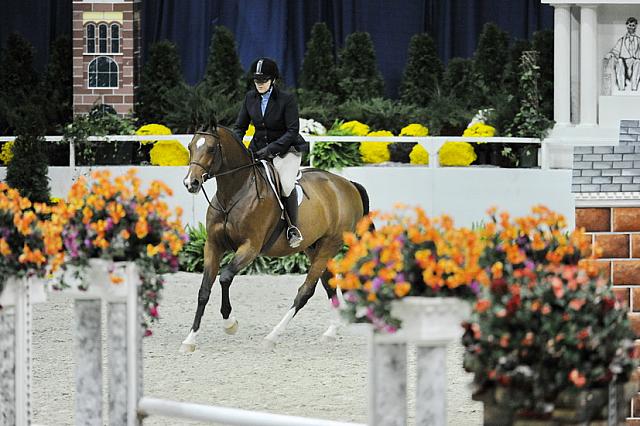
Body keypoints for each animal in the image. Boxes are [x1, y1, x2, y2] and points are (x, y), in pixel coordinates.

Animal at [180, 125, 370, 352]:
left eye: (210, 149)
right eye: (190, 146)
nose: (190, 183)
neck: (235, 193)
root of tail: (347, 184)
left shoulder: (250, 248)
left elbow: (225, 278)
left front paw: (230, 324)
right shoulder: (213, 245)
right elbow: (204, 290)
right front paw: (190, 339)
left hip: (330, 244)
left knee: (306, 291)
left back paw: (273, 336)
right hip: (314, 246)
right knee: (328, 284)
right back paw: (331, 332)